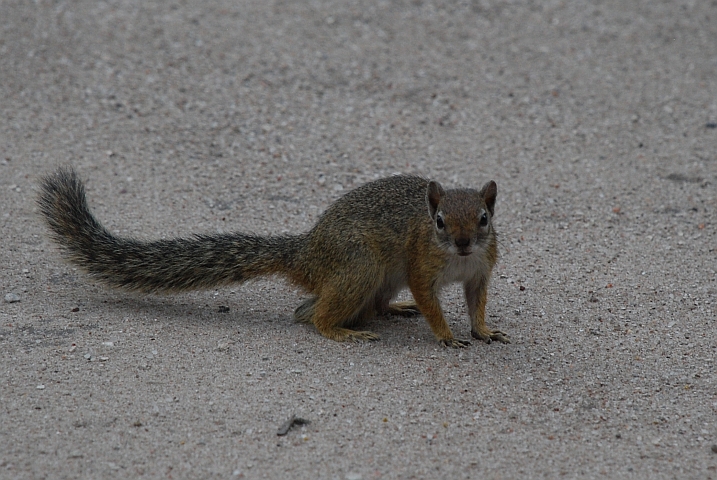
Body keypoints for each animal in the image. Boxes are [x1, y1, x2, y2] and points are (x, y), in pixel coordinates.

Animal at [37, 167, 509, 348]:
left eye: (484, 218)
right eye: (440, 222)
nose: (463, 243)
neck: (460, 260)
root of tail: (307, 254)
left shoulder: (480, 272)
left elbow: (476, 303)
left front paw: (483, 330)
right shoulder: (420, 265)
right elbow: (431, 301)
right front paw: (446, 336)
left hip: (375, 277)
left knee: (365, 305)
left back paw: (392, 309)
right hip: (360, 265)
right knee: (311, 315)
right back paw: (342, 331)